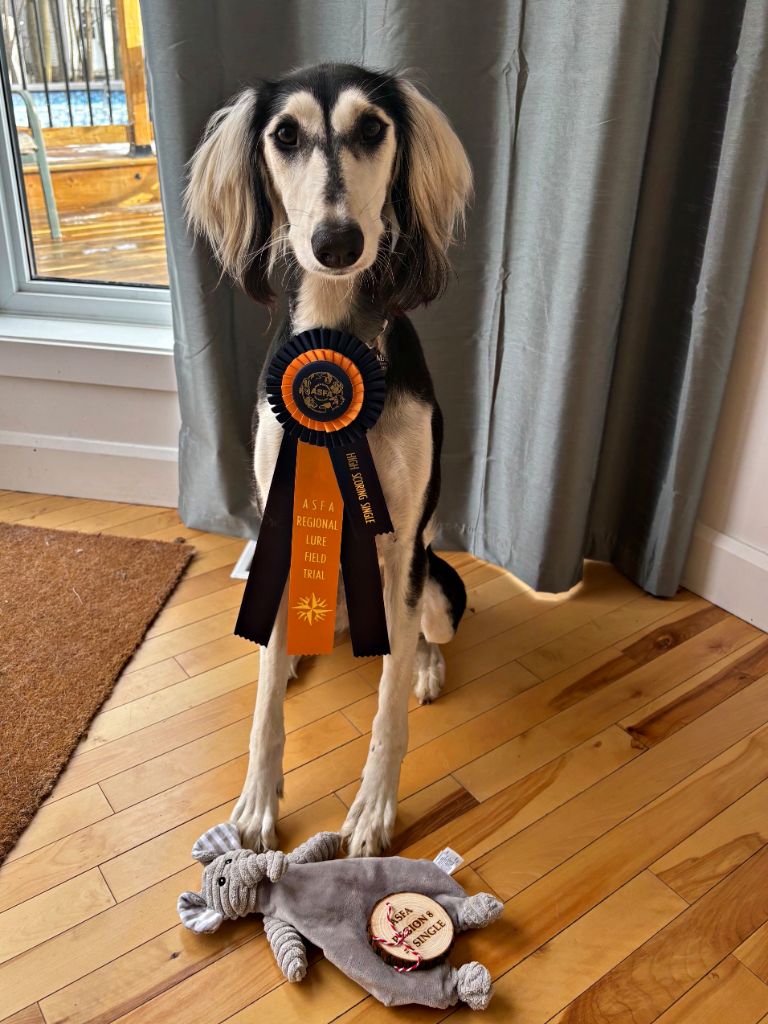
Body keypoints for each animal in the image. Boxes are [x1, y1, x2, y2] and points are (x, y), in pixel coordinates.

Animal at [185, 63, 472, 856]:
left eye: (373, 128)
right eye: (285, 135)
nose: (337, 241)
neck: (337, 335)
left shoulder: (404, 543)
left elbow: (387, 708)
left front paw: (374, 809)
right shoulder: (279, 519)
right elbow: (262, 708)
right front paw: (256, 804)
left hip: (437, 585)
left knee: (420, 635)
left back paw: (426, 665)